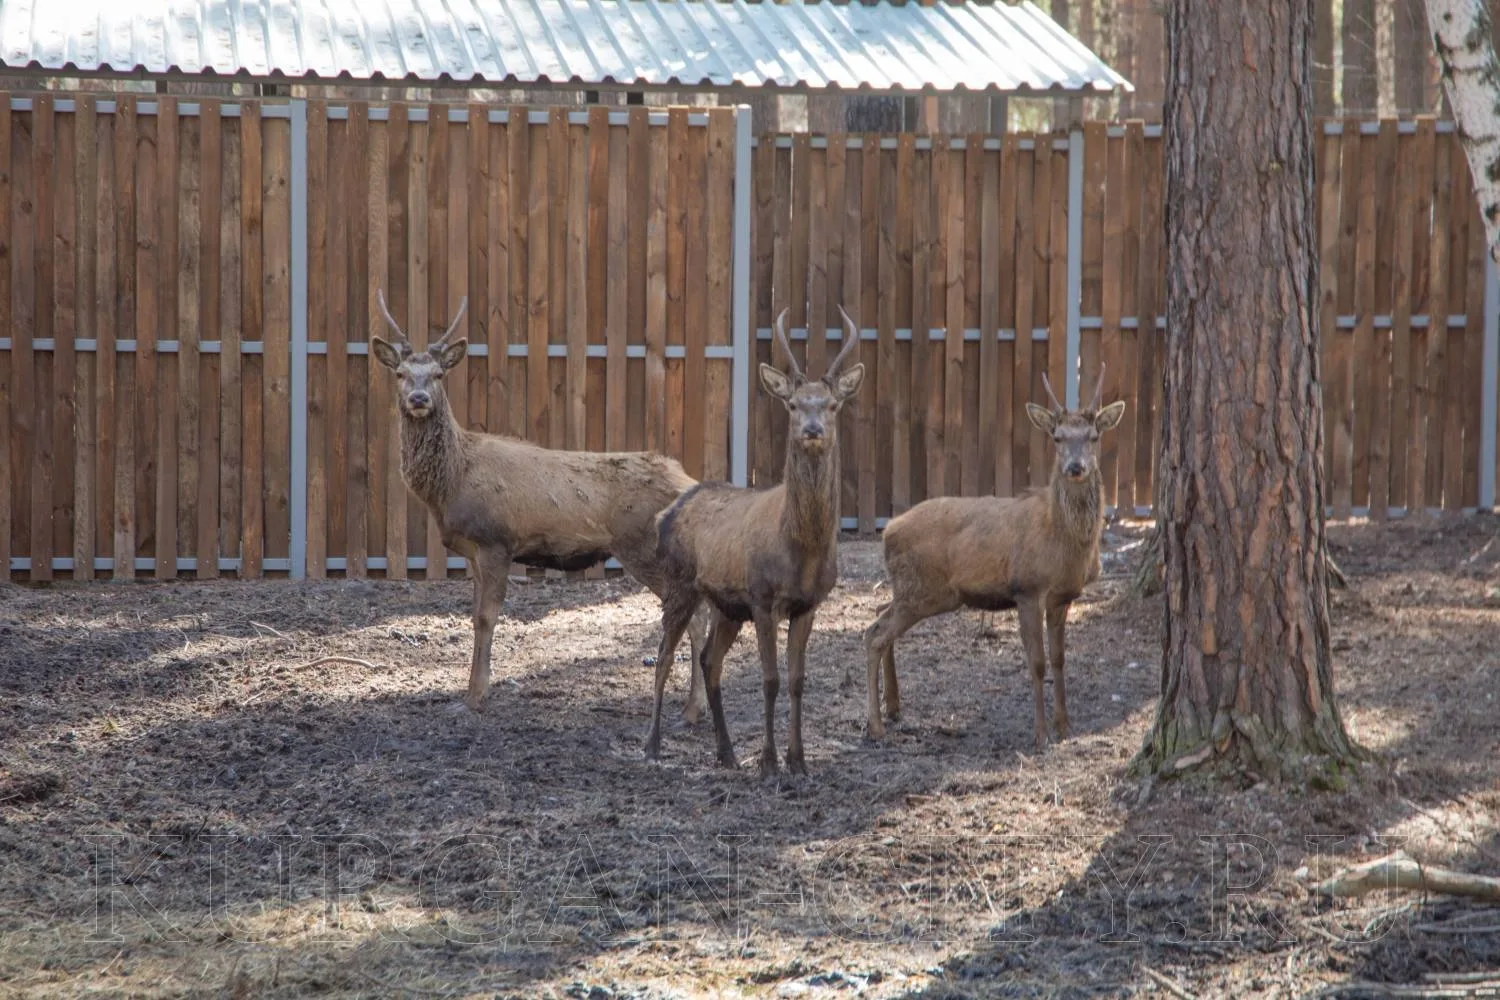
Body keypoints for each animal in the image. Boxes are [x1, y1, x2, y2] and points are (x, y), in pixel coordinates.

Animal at [370, 290, 708, 717]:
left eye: (438, 375)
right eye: (400, 373)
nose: (418, 398)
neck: (453, 481)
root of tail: (690, 483)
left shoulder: (496, 539)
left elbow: (487, 617)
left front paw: (476, 696)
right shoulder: (473, 550)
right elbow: (474, 616)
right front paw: (469, 692)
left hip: (645, 548)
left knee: (694, 615)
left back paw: (692, 709)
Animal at [644, 307, 866, 779]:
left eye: (832, 404)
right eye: (794, 404)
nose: (813, 429)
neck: (800, 552)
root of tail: (666, 513)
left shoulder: (808, 604)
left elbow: (798, 681)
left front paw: (798, 761)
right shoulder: (764, 599)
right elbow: (771, 680)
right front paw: (768, 762)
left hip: (727, 605)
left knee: (710, 661)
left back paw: (726, 753)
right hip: (679, 583)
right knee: (665, 654)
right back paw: (651, 746)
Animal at [861, 367, 1126, 750]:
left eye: (1093, 436)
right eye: (1057, 437)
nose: (1075, 467)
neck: (1062, 543)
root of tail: (888, 530)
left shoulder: (1062, 597)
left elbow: (1060, 659)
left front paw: (1065, 726)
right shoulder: (1028, 588)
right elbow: (1037, 663)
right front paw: (1041, 733)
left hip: (918, 592)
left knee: (880, 619)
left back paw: (894, 707)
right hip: (922, 590)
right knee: (874, 634)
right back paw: (876, 725)